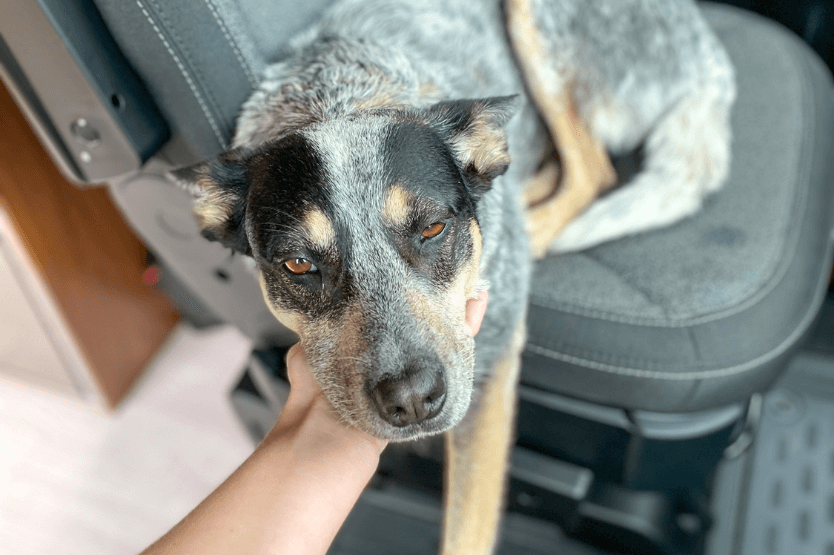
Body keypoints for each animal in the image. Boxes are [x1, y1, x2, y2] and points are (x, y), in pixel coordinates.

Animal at [180, 2, 728, 552]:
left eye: (433, 228)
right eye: (298, 265)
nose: (412, 398)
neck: (341, 101)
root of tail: (711, 60)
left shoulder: (489, 364)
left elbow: (469, 530)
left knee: (594, 170)